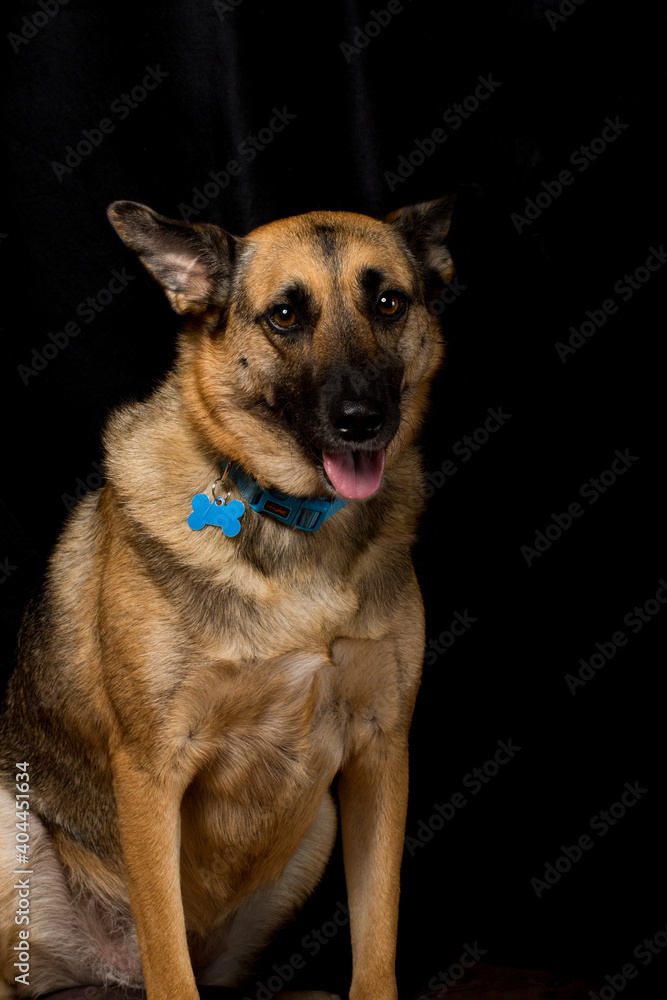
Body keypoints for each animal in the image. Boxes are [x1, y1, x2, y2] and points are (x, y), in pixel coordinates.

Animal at [0, 195, 456, 1000]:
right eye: (285, 315)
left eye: (388, 303)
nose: (363, 421)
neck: (294, 522)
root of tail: (106, 975)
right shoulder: (151, 770)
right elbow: (168, 964)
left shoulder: (381, 755)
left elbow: (376, 942)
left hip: (317, 828)